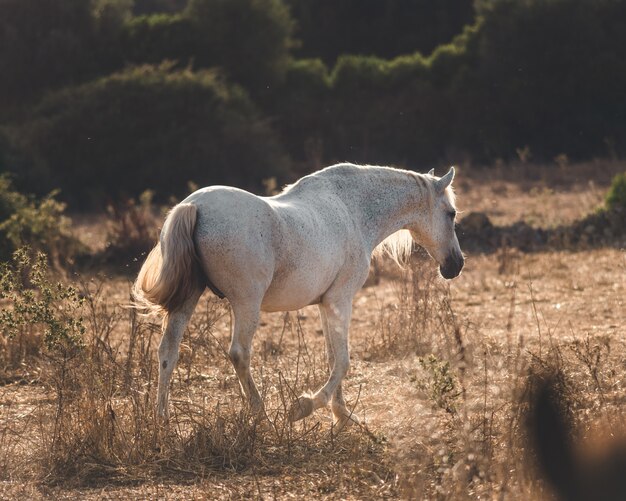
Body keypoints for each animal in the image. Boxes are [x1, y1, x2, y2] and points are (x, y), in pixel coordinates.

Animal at [133, 162, 464, 428]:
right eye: (451, 213)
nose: (456, 265)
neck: (353, 210)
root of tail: (194, 206)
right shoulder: (340, 300)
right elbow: (343, 361)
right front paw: (304, 407)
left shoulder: (325, 304)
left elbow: (333, 357)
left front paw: (341, 415)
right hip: (246, 304)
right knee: (239, 353)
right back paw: (261, 415)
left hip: (187, 300)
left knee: (168, 351)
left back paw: (162, 421)